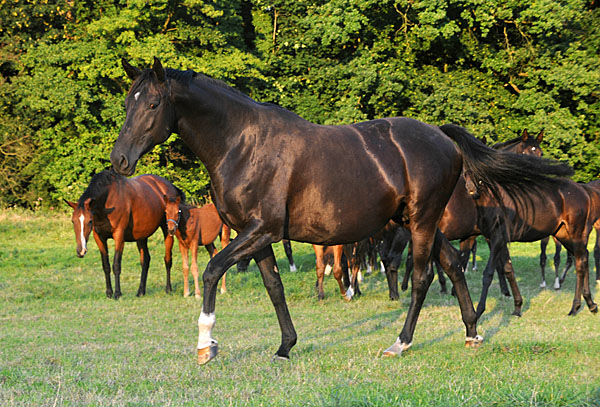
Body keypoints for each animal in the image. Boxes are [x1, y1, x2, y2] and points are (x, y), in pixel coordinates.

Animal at [66, 170, 178, 300]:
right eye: (73, 221)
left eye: (89, 221)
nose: (81, 251)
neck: (107, 201)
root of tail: (169, 186)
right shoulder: (99, 237)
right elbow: (106, 265)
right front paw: (109, 293)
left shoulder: (119, 236)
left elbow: (116, 265)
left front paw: (117, 293)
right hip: (141, 236)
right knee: (145, 260)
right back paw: (141, 291)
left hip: (168, 230)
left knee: (167, 259)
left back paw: (168, 289)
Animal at [109, 56, 572, 364]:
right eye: (128, 103)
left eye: (152, 105)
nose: (120, 161)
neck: (243, 143)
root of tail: (441, 136)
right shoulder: (256, 236)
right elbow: (274, 287)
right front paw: (285, 347)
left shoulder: (261, 231)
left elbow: (211, 271)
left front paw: (206, 345)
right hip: (419, 221)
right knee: (455, 265)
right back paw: (472, 334)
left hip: (422, 222)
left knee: (423, 277)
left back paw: (400, 343)